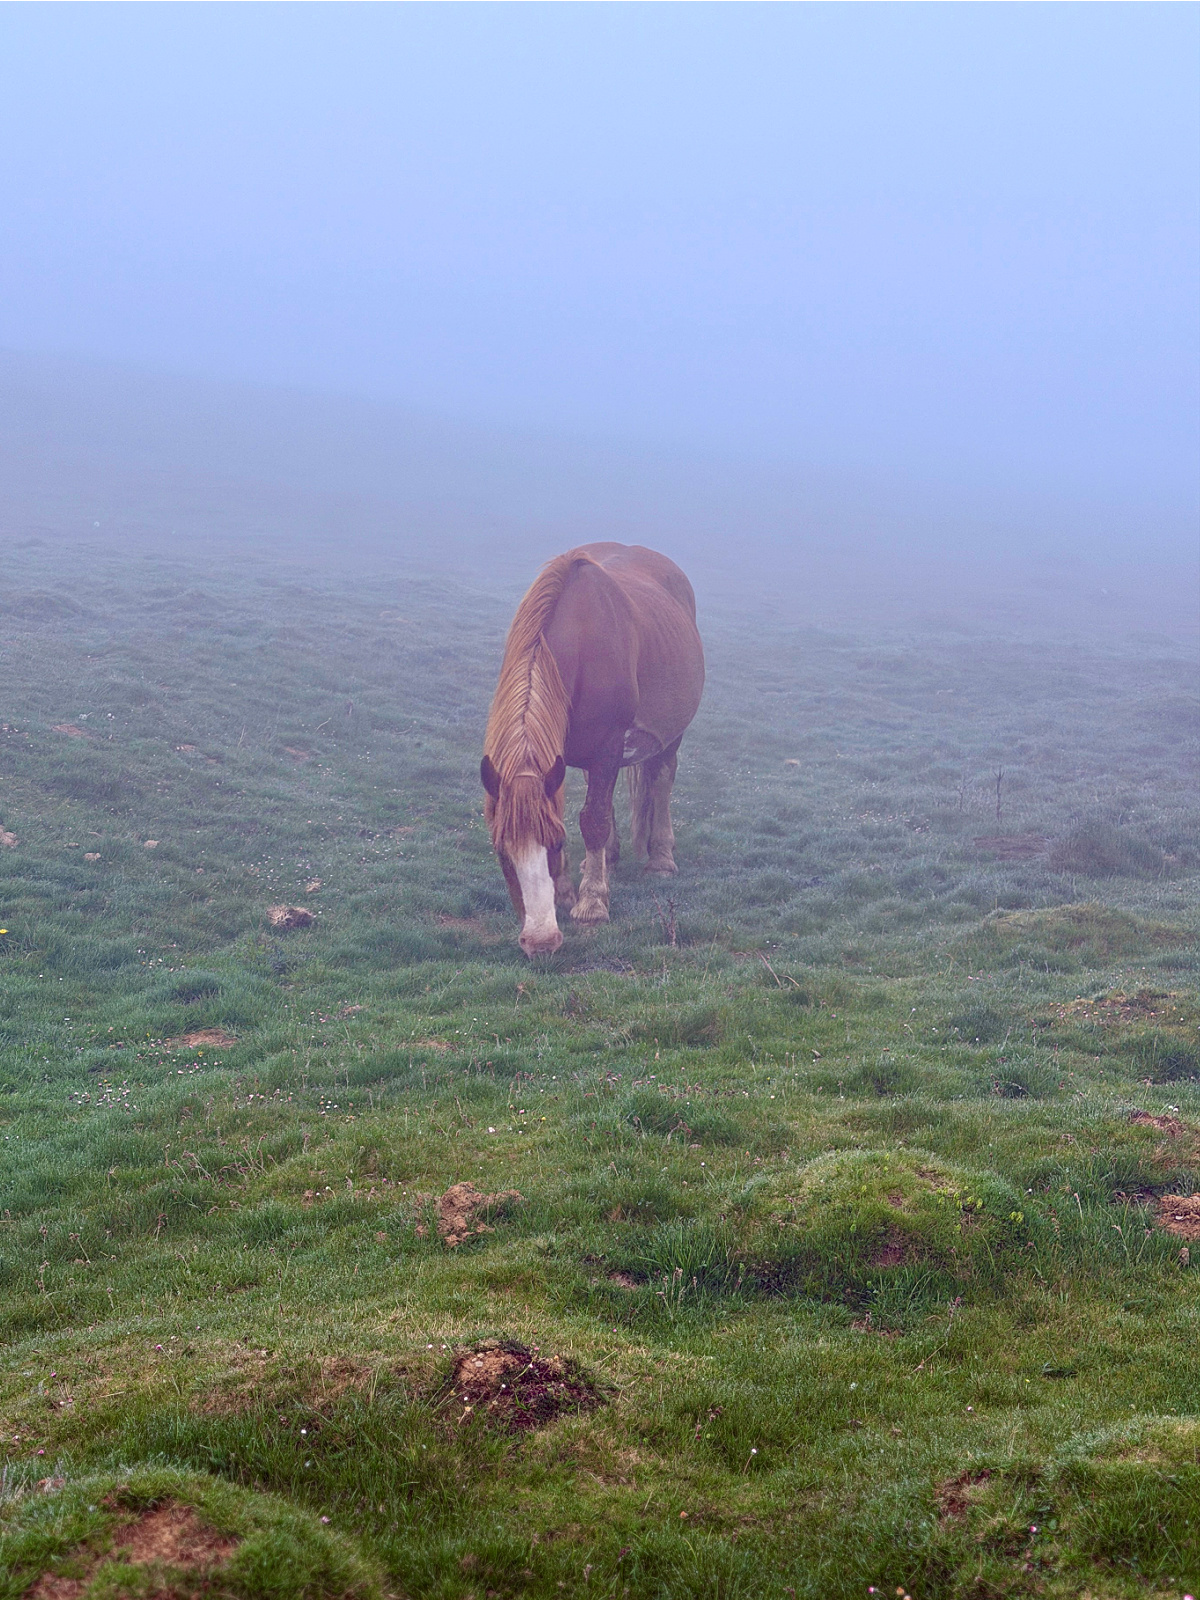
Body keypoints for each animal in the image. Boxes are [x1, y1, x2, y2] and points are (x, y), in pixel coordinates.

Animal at [480, 543, 705, 956]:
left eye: (554, 844)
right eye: (502, 853)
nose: (541, 942)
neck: (580, 643)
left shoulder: (607, 748)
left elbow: (593, 819)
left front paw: (592, 903)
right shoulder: (560, 757)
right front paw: (569, 890)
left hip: (671, 733)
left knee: (662, 780)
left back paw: (660, 858)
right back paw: (607, 859)